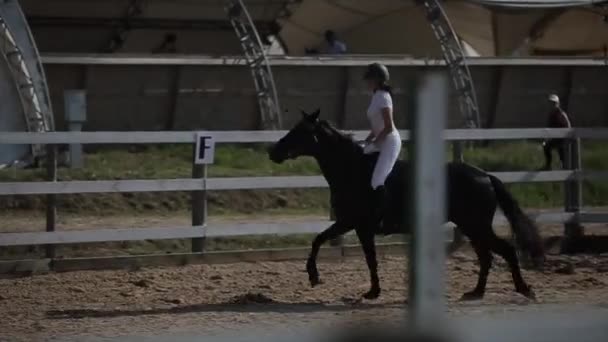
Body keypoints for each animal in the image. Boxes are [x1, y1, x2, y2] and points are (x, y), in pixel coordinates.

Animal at [268, 109, 544, 300]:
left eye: (300, 131)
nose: (273, 152)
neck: (352, 170)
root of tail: (485, 175)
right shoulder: (355, 226)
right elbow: (357, 254)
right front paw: (370, 291)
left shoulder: (353, 223)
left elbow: (330, 244)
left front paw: (317, 277)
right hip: (471, 227)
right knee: (486, 257)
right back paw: (475, 293)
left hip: (477, 226)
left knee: (506, 250)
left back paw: (523, 289)